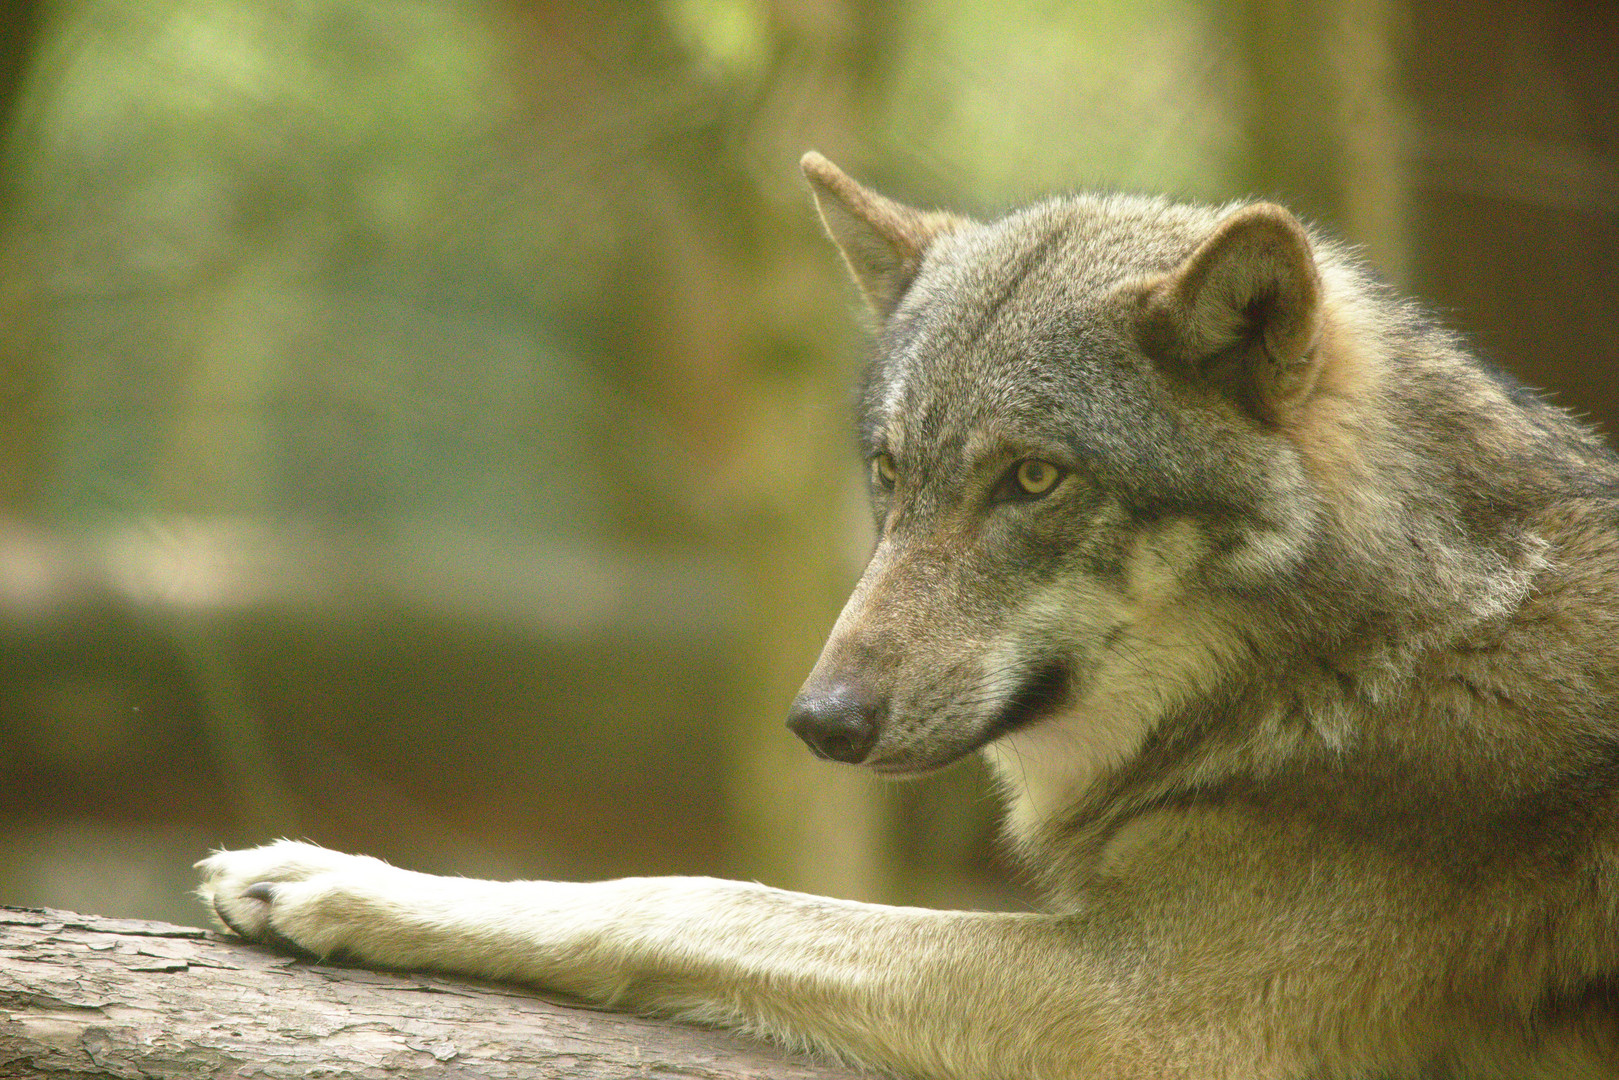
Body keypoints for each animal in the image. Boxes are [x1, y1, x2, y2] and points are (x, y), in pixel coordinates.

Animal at [199, 153, 1619, 1080]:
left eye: (1031, 479)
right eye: (889, 474)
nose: (818, 721)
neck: (1387, 640)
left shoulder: (1144, 1012)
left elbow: (690, 892)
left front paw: (337, 883)